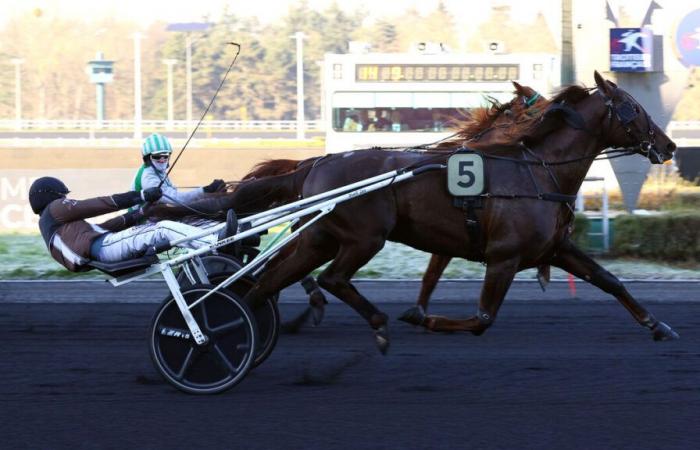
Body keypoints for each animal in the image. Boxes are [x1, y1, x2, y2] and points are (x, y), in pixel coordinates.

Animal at [230, 71, 680, 352]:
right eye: (633, 107)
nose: (669, 145)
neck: (538, 171)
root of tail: (315, 164)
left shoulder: (554, 249)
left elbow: (609, 280)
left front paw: (658, 325)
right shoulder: (503, 257)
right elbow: (481, 318)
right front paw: (424, 320)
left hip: (319, 237)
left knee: (270, 280)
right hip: (363, 238)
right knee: (329, 278)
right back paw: (375, 323)